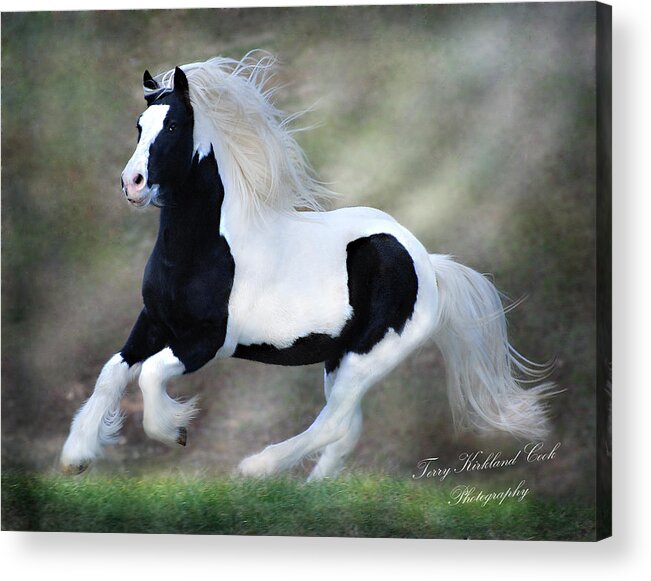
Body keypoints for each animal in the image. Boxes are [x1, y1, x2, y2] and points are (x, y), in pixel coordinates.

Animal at [61, 53, 556, 480]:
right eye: (139, 126)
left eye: (175, 125)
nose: (132, 183)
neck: (205, 251)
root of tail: (429, 265)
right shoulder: (155, 321)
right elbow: (113, 371)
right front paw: (76, 457)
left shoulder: (208, 341)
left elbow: (149, 373)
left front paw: (174, 430)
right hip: (339, 359)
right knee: (346, 428)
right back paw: (313, 492)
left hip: (368, 358)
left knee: (334, 423)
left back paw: (256, 469)